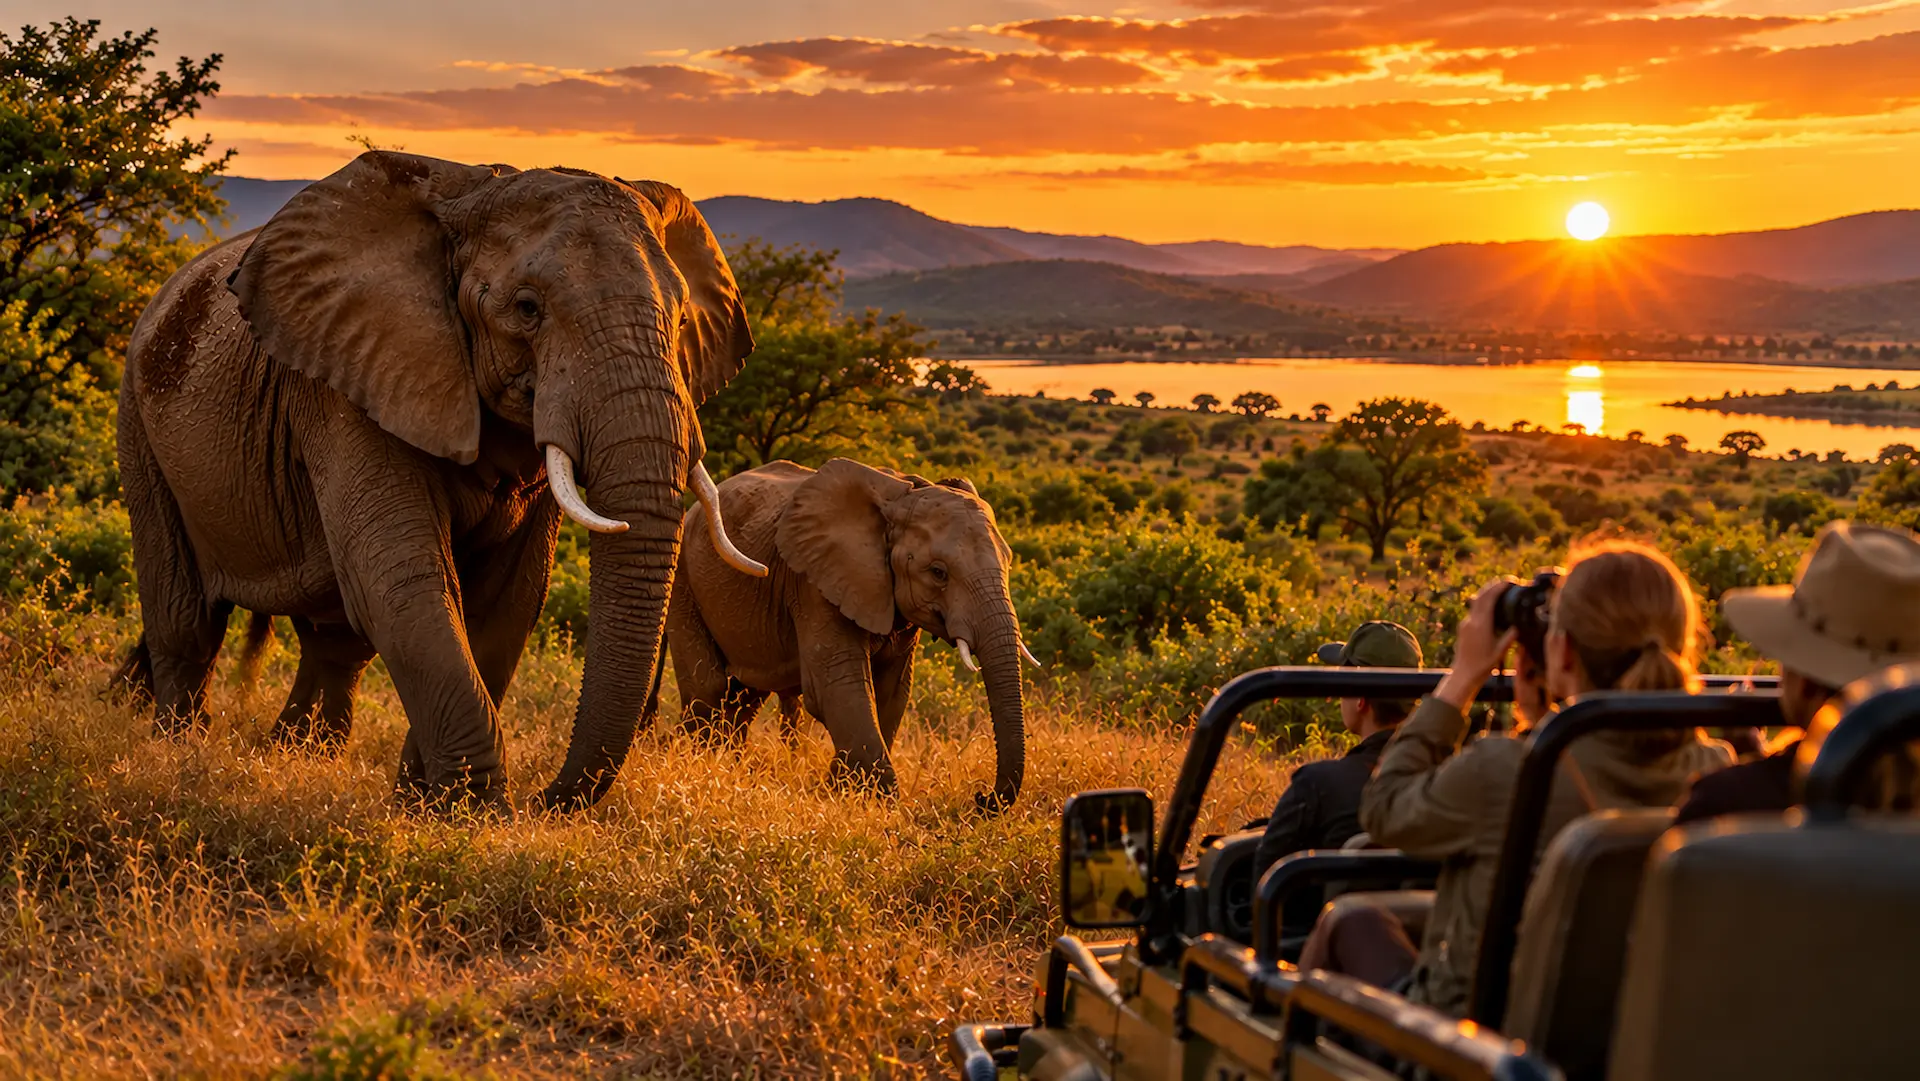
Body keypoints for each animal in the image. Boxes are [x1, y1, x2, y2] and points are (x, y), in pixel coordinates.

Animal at [114, 150, 771, 811]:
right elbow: (402, 581)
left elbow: (507, 601)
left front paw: (426, 807)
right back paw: (177, 757)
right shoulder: (350, 378)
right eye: (527, 308)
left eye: (681, 318)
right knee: (185, 621)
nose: (541, 800)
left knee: (333, 641)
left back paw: (294, 757)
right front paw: (475, 812)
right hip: (140, 421)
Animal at [666, 458, 1035, 810]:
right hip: (683, 578)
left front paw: (841, 789)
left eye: (1008, 562)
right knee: (709, 688)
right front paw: (875, 802)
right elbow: (838, 687)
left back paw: (729, 766)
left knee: (743, 697)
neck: (900, 496)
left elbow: (892, 691)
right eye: (938, 573)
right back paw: (701, 765)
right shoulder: (815, 584)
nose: (982, 797)